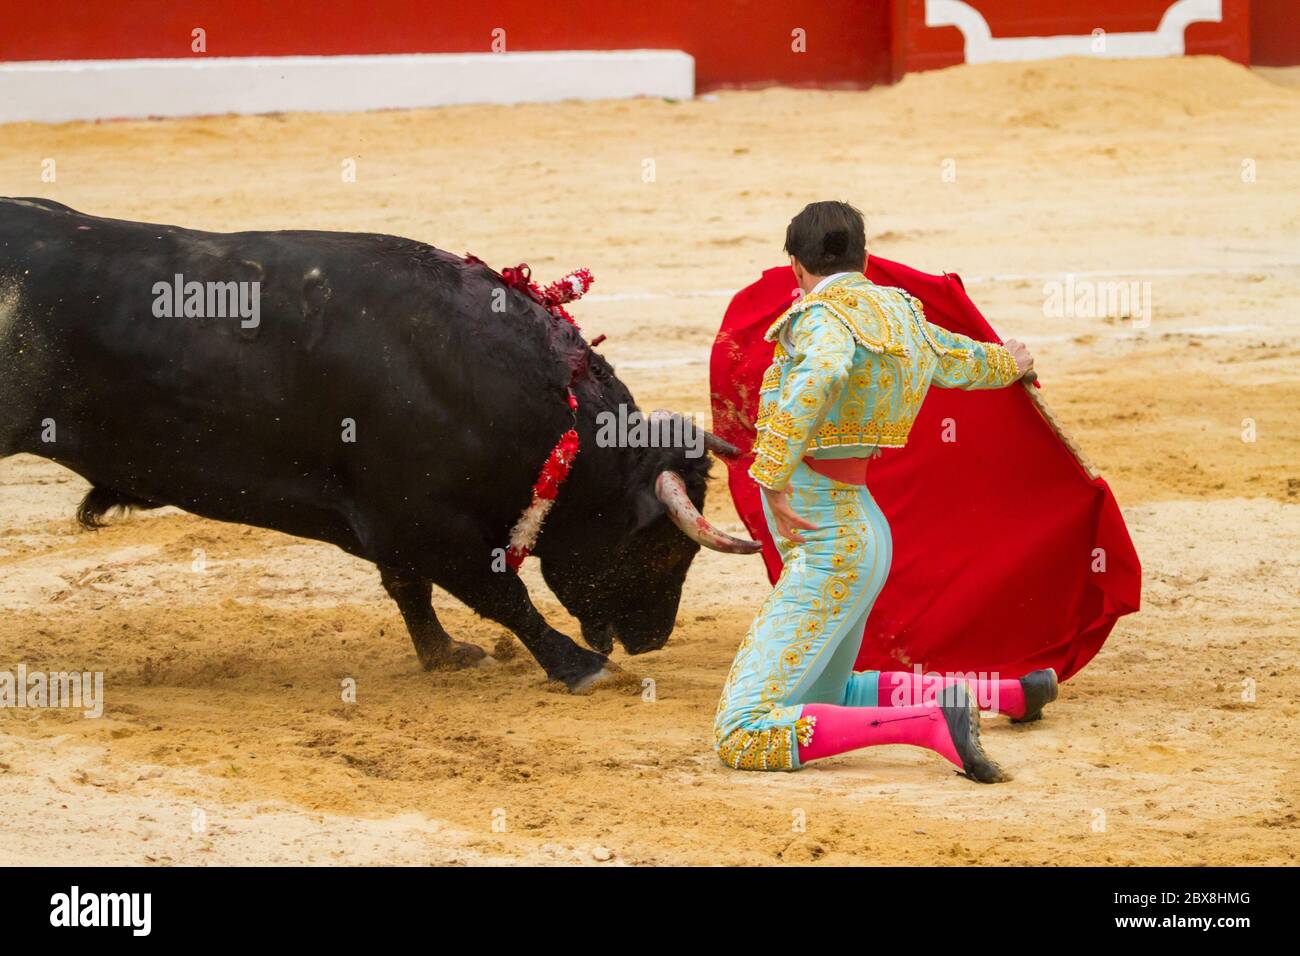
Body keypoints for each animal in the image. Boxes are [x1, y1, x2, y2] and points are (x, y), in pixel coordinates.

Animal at [0, 197, 759, 691]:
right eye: (662, 547)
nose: (654, 638)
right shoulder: (425, 523)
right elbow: (501, 593)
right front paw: (579, 666)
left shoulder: (396, 527)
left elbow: (409, 589)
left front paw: (446, 655)